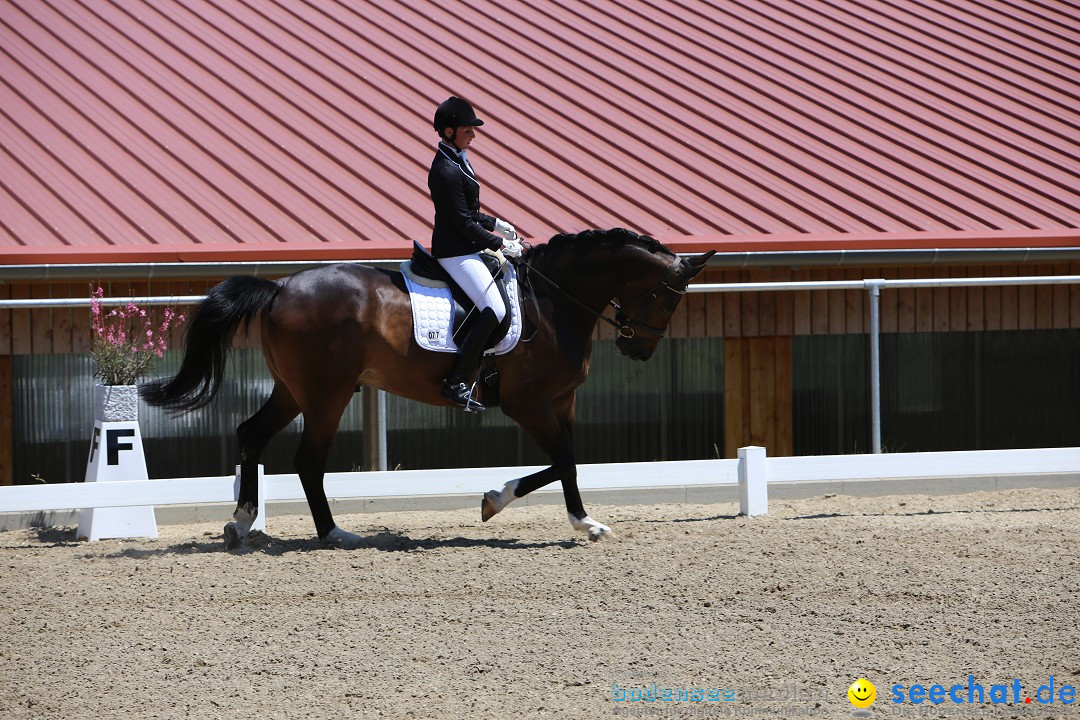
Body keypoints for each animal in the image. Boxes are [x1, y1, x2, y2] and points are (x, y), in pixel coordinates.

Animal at [141, 227, 717, 548]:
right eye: (668, 297)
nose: (639, 352)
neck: (555, 303)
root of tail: (280, 287)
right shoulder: (528, 404)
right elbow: (567, 461)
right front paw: (582, 523)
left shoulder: (561, 402)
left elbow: (564, 462)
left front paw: (498, 501)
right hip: (327, 395)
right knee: (307, 460)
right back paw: (334, 534)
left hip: (292, 389)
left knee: (252, 434)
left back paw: (240, 524)